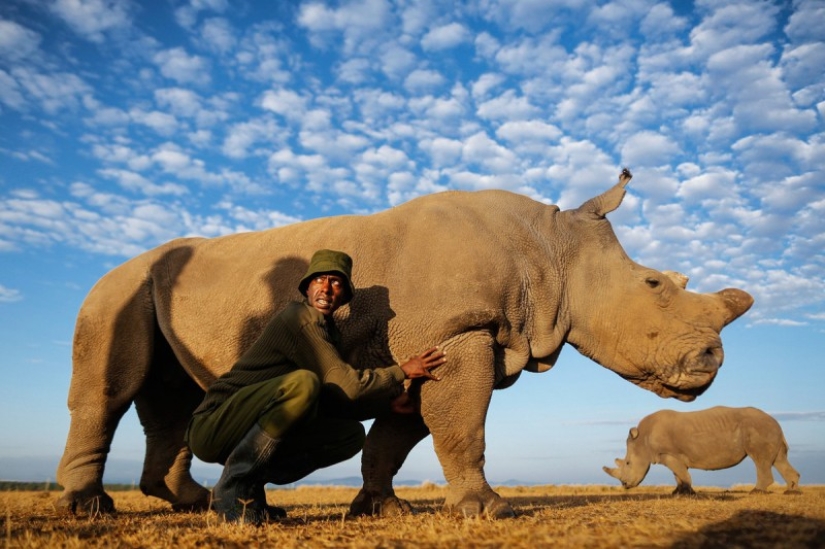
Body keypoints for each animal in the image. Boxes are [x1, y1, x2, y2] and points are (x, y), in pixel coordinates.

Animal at [55, 169, 753, 518]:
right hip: (115, 290)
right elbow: (462, 426)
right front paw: (489, 511)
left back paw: (194, 503)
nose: (714, 361)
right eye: (654, 284)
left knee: (168, 399)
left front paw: (379, 509)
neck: (553, 249)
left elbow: (400, 434)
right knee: (109, 391)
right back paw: (92, 511)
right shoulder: (459, 333)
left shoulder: (444, 342)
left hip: (154, 291)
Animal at [603, 406, 801, 495]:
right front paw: (679, 493)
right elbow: (678, 474)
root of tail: (775, 421)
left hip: (759, 428)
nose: (624, 485)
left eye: (628, 463)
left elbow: (681, 473)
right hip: (768, 429)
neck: (643, 441)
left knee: (760, 460)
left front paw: (686, 493)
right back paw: (791, 491)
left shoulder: (669, 454)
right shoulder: (674, 456)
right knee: (778, 459)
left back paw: (756, 492)